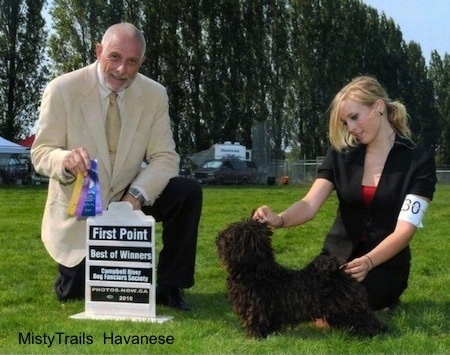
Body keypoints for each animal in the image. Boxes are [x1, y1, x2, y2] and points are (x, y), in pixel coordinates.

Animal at [214, 220, 386, 340]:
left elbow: (255, 322)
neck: (257, 272)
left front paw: (253, 338)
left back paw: (376, 334)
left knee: (367, 319)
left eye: (234, 234)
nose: (218, 236)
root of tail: (339, 270)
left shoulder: (256, 307)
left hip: (349, 307)